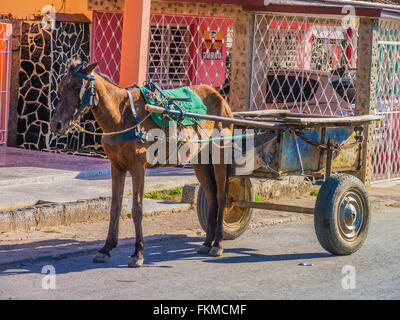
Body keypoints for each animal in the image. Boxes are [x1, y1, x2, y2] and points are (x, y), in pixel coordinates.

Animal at [49, 58, 234, 266]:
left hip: (220, 155)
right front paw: (106, 248)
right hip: (199, 160)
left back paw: (218, 244)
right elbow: (115, 207)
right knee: (211, 197)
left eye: (76, 88)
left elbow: (137, 208)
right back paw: (207, 242)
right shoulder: (117, 167)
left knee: (221, 196)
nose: (56, 124)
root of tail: (220, 96)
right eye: (61, 86)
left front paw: (137, 252)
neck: (122, 116)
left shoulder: (138, 168)